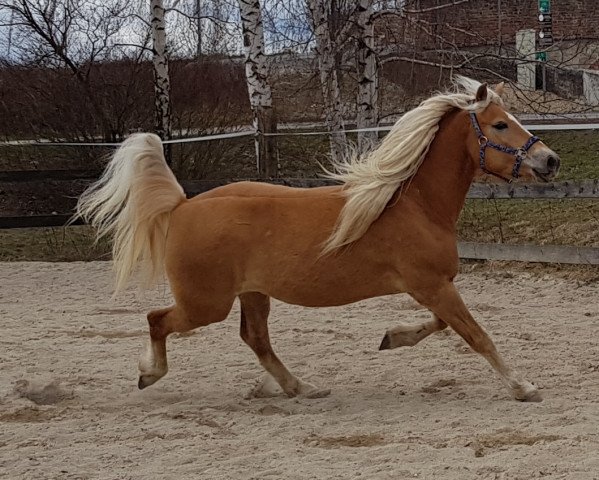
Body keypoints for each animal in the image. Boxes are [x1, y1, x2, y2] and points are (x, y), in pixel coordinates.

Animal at [76, 78, 564, 402]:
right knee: (158, 319)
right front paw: (524, 386)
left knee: (255, 339)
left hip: (253, 293)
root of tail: (181, 206)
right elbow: (477, 335)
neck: (414, 204)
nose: (550, 160)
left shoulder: (432, 288)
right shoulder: (431, 286)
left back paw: (301, 387)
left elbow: (445, 327)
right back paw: (150, 374)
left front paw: (392, 338)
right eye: (499, 125)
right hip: (205, 303)